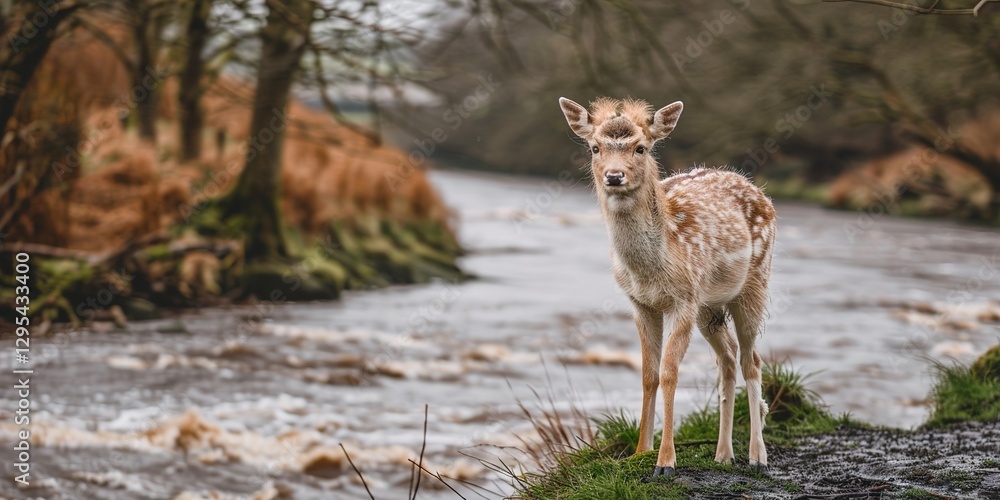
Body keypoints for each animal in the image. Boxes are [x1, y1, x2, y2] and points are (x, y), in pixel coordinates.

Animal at [558, 97, 776, 478]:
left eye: (641, 147)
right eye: (595, 147)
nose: (614, 176)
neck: (651, 269)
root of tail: (759, 190)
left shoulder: (683, 299)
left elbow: (670, 372)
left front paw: (666, 462)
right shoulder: (640, 303)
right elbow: (648, 373)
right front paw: (640, 452)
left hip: (755, 285)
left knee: (752, 360)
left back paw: (757, 457)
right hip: (709, 307)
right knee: (727, 359)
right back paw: (723, 454)